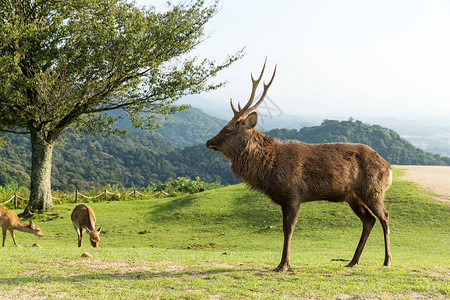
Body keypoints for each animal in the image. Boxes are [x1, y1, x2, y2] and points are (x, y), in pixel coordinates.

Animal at [206, 58, 392, 272]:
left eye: (227, 130)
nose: (209, 142)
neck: (271, 169)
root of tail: (388, 168)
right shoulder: (286, 198)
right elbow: (285, 228)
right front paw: (282, 263)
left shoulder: (293, 193)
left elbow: (288, 228)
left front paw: (283, 264)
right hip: (352, 195)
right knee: (369, 219)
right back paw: (353, 261)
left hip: (373, 189)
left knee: (384, 216)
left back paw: (387, 260)